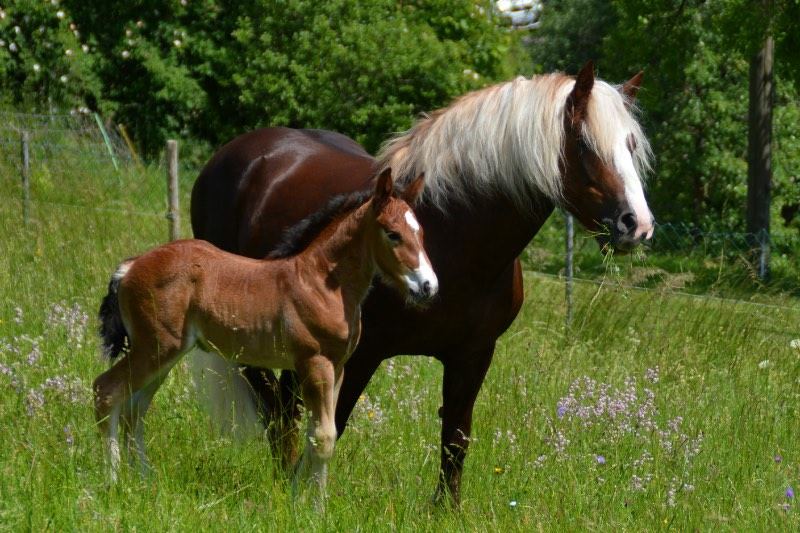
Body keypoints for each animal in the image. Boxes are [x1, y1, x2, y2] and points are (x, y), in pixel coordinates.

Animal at [92, 170, 438, 494]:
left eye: (421, 232)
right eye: (393, 234)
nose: (428, 287)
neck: (320, 283)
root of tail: (131, 266)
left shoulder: (337, 368)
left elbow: (321, 434)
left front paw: (312, 500)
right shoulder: (314, 364)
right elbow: (323, 437)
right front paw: (311, 508)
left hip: (163, 355)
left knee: (134, 410)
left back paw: (144, 481)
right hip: (155, 349)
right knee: (106, 391)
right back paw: (114, 483)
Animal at [191, 62, 652, 502]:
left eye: (631, 146)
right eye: (583, 145)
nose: (637, 225)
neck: (454, 236)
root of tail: (237, 154)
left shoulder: (473, 355)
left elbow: (456, 438)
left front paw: (446, 509)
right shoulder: (360, 355)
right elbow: (331, 426)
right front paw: (306, 497)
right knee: (272, 401)